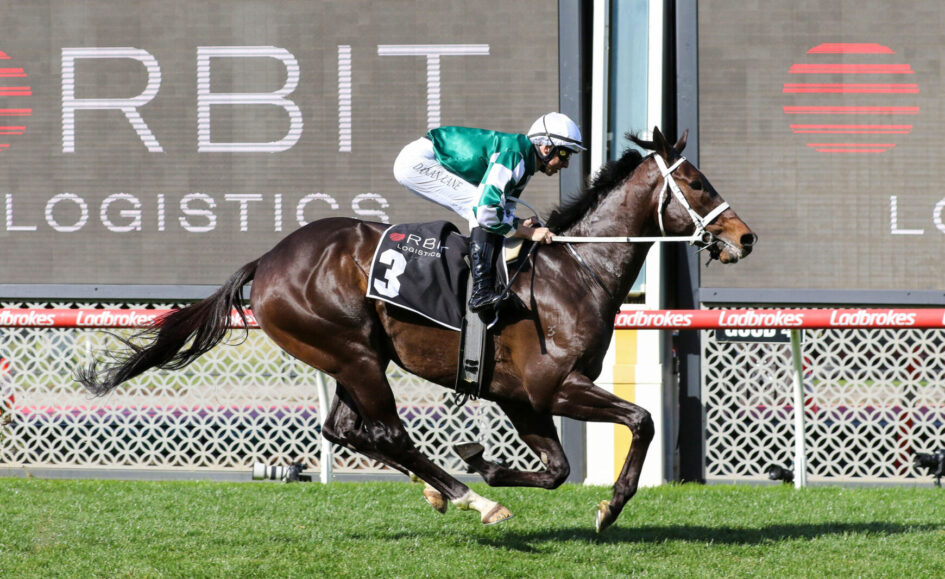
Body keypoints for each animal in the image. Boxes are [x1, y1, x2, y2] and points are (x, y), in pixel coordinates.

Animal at [77, 127, 756, 533]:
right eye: (695, 182)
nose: (744, 237)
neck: (573, 271)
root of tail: (266, 261)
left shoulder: (522, 397)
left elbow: (558, 468)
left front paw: (491, 464)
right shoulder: (552, 386)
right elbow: (640, 421)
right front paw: (606, 508)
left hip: (353, 357)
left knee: (347, 428)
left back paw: (443, 488)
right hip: (352, 353)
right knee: (385, 432)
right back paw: (471, 497)